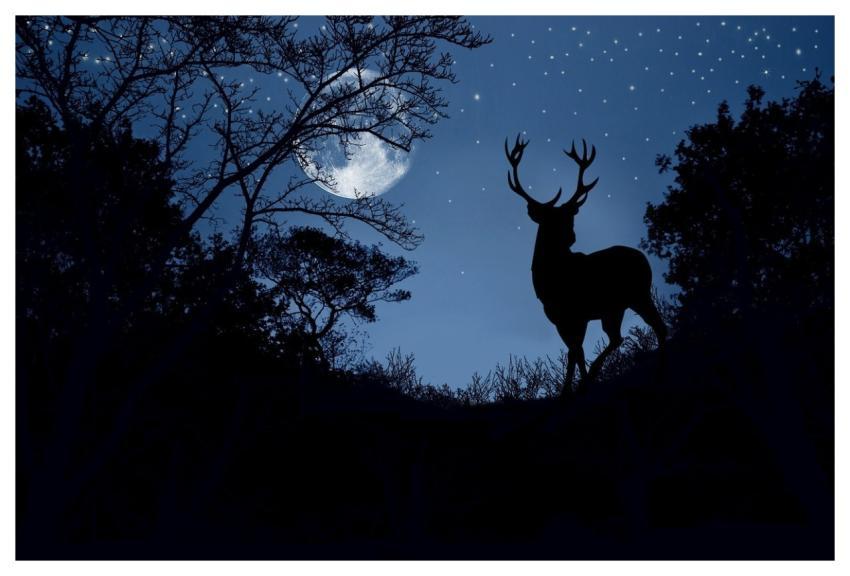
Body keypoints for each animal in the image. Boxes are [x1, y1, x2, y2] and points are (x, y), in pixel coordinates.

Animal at [505, 135, 667, 397]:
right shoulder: (560, 318)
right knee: (628, 335)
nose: (571, 237)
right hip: (620, 305)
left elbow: (574, 352)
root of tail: (645, 259)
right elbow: (577, 352)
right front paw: (576, 386)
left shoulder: (576, 314)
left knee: (645, 331)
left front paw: (568, 390)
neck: (548, 279)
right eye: (549, 220)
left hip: (636, 295)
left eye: (569, 217)